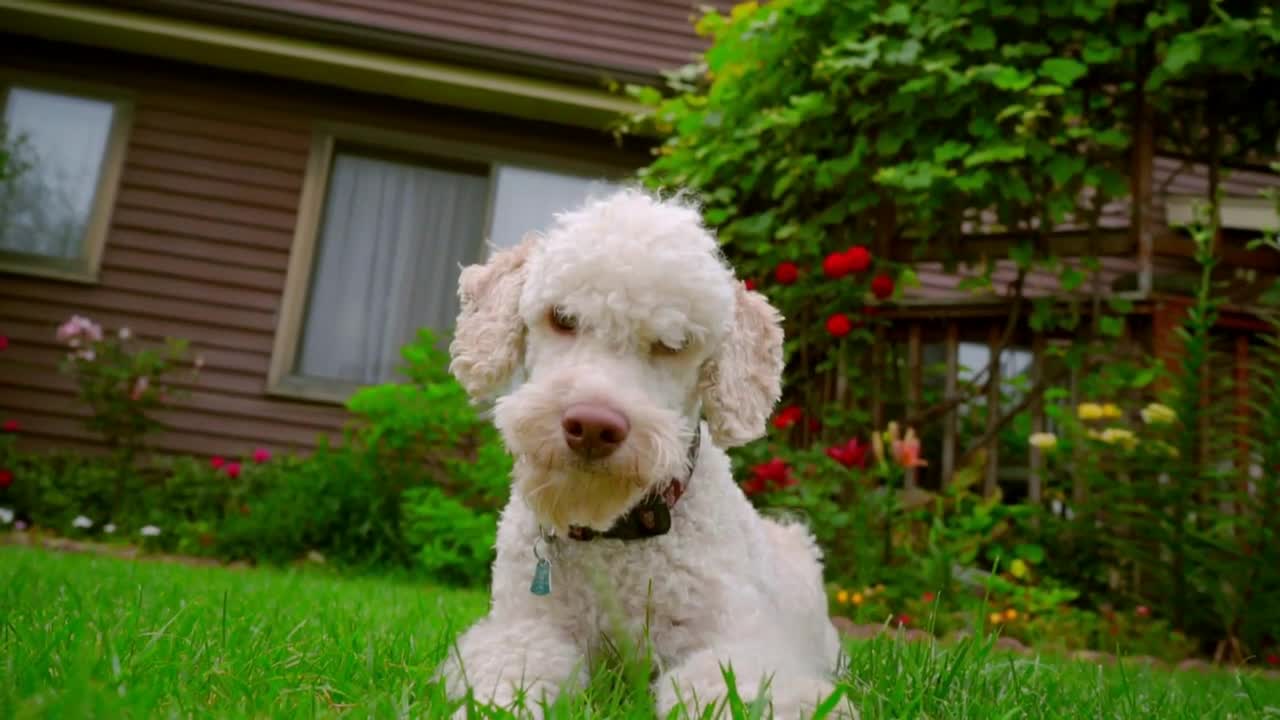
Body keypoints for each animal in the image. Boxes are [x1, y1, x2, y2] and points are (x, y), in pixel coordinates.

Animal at [440, 188, 849, 712]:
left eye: (675, 344)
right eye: (562, 318)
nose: (593, 427)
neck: (616, 538)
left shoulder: (737, 647)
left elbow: (735, 688)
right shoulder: (525, 630)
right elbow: (512, 673)